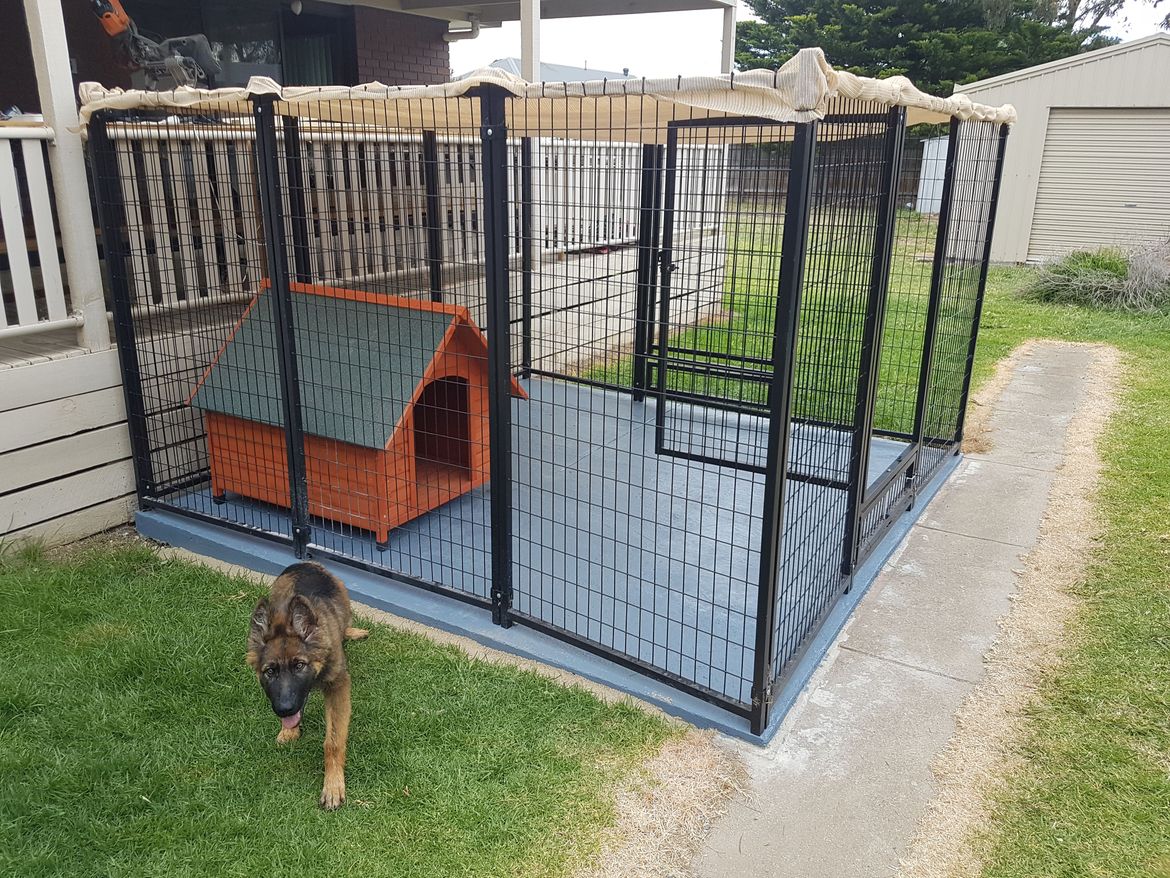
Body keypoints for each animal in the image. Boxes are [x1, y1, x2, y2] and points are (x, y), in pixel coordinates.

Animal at [248, 564, 369, 810]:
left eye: (299, 666)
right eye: (270, 671)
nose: (284, 710)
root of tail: (304, 564)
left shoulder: (338, 686)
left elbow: (333, 742)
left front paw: (333, 786)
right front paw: (289, 730)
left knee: (345, 624)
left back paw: (351, 632)